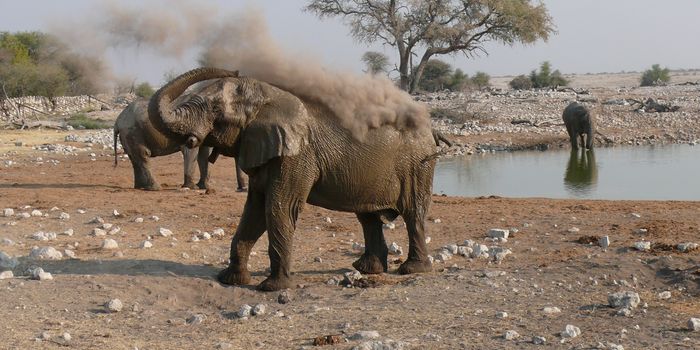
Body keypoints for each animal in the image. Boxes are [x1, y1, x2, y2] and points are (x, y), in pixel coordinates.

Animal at [113, 98, 247, 191]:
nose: (241, 189)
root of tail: (118, 120)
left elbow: (203, 154)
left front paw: (204, 187)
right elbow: (192, 151)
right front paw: (193, 188)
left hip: (129, 135)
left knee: (135, 159)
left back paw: (140, 187)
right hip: (133, 132)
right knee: (143, 155)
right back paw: (155, 188)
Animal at [147, 67, 442, 292]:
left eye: (215, 108)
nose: (233, 69)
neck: (268, 97)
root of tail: (430, 128)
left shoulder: (296, 156)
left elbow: (278, 208)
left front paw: (271, 288)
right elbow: (254, 211)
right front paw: (231, 280)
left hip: (417, 166)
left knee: (413, 212)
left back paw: (411, 270)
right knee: (367, 217)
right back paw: (366, 269)